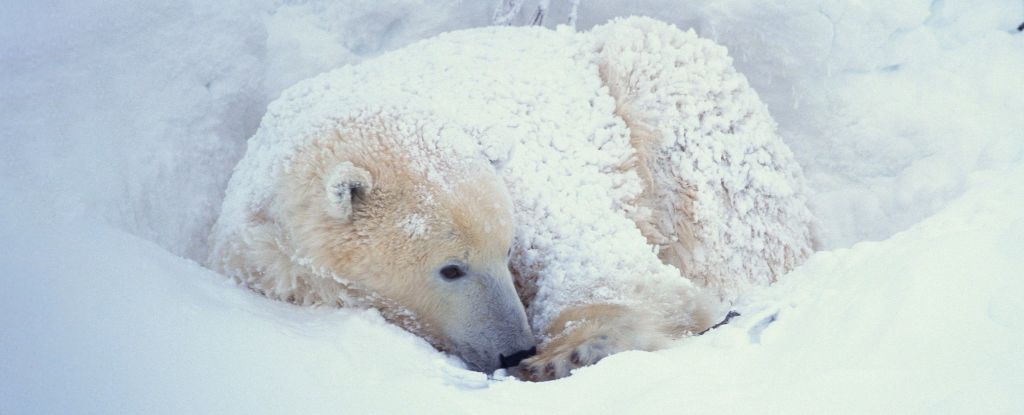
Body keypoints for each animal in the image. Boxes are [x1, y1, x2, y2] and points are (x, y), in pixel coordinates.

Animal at [208, 17, 816, 380]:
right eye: (452, 268)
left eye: (505, 250)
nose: (515, 350)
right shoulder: (263, 265)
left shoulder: (526, 176)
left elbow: (602, 261)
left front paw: (570, 350)